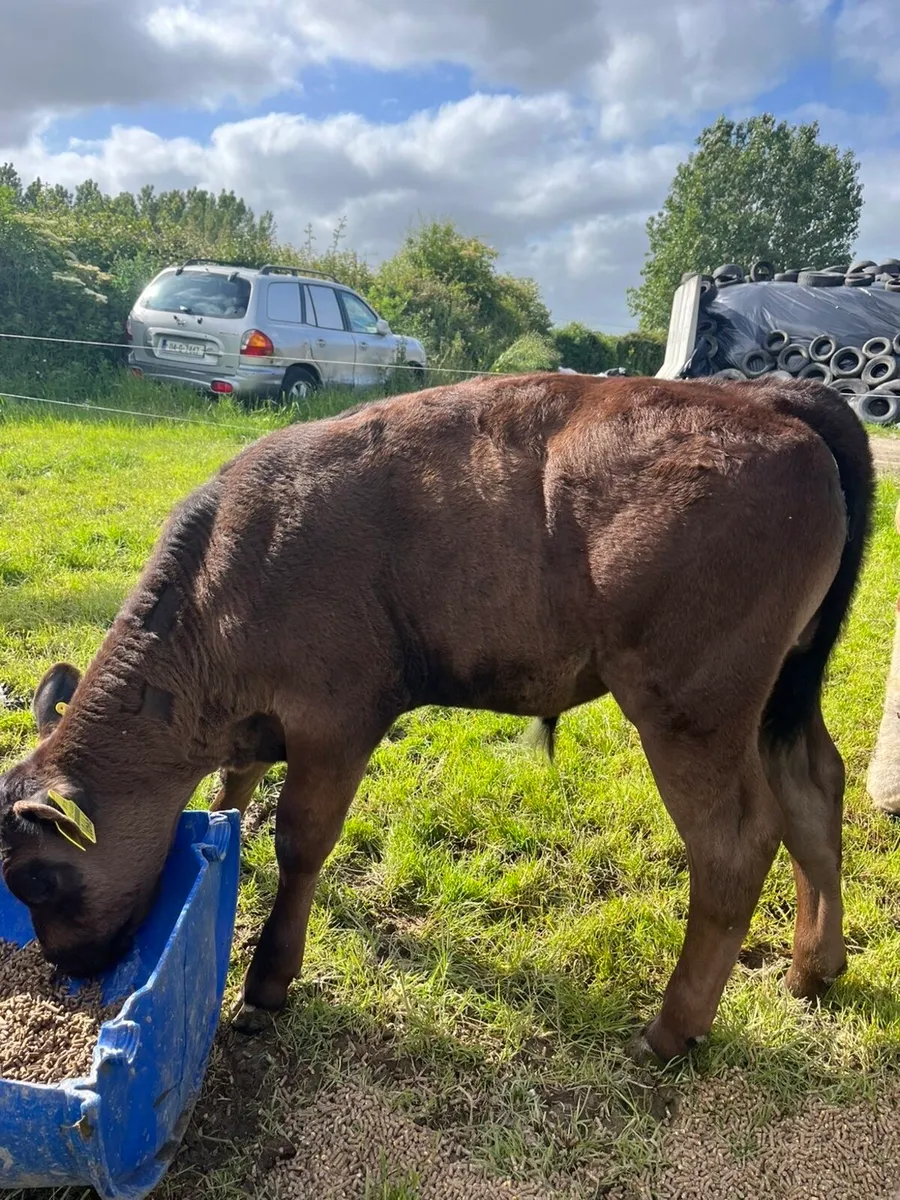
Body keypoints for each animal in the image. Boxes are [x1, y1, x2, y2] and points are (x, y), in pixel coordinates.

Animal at [0, 373, 873, 1064]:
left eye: (38, 877)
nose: (70, 969)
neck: (227, 574)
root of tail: (766, 397)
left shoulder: (336, 722)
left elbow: (300, 842)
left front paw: (267, 982)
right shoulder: (256, 726)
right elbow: (231, 793)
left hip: (690, 709)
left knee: (736, 842)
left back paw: (670, 1029)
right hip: (779, 695)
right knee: (813, 788)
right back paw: (813, 969)